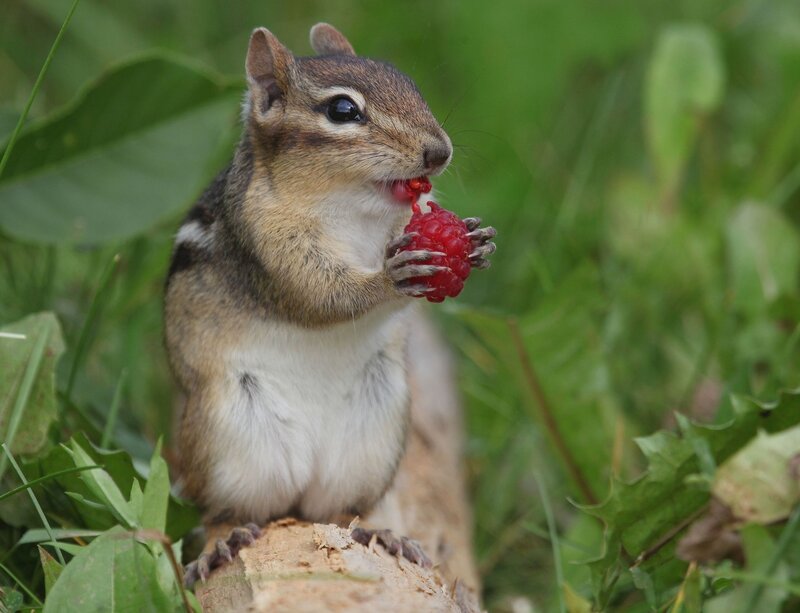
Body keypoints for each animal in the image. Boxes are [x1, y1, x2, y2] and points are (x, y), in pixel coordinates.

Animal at [164, 23, 496, 585]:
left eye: (409, 83)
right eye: (343, 110)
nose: (439, 152)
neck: (353, 207)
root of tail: (299, 494)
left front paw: (473, 241)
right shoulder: (270, 244)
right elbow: (321, 296)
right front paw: (391, 277)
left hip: (374, 441)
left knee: (339, 511)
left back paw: (381, 532)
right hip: (223, 439)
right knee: (223, 512)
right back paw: (221, 542)